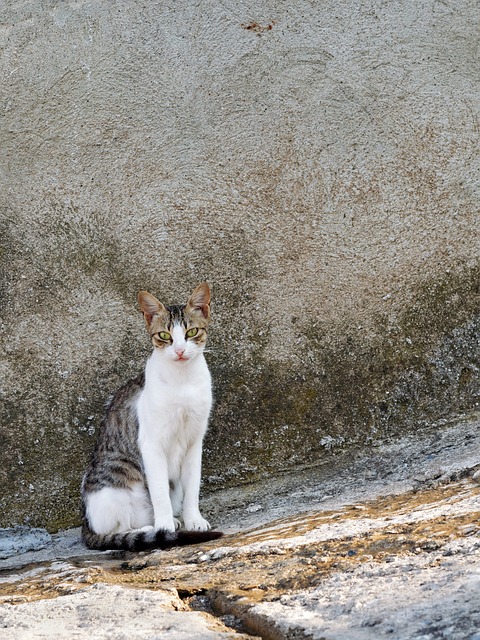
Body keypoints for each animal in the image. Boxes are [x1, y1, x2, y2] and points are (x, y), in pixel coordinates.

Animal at [81, 282, 222, 552]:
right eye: (164, 336)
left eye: (192, 332)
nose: (179, 350)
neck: (182, 381)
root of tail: (85, 522)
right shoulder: (152, 444)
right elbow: (159, 494)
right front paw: (164, 529)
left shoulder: (194, 441)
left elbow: (192, 487)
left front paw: (193, 519)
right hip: (118, 488)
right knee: (116, 531)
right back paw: (152, 530)